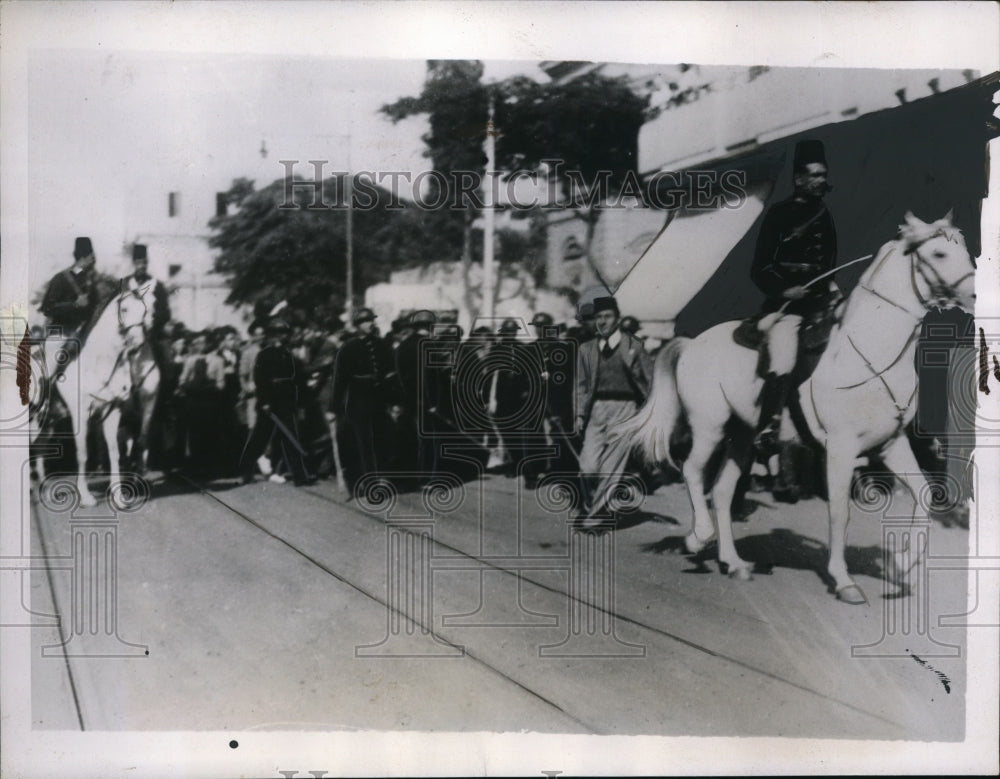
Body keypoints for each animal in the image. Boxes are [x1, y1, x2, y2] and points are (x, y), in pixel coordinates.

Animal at [31, 284, 162, 508]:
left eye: (145, 311)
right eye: (124, 309)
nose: (137, 344)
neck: (98, 362)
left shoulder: (113, 410)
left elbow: (114, 450)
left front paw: (119, 496)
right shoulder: (81, 413)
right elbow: (82, 453)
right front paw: (86, 496)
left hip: (48, 422)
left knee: (40, 448)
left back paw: (45, 491)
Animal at [620, 213, 972, 604]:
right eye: (939, 253)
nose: (974, 295)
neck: (871, 350)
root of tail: (692, 343)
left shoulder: (890, 445)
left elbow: (923, 494)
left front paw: (904, 562)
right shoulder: (841, 449)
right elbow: (839, 513)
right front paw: (844, 580)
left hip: (742, 437)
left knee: (723, 491)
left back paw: (734, 562)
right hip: (709, 427)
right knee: (693, 472)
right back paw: (698, 537)